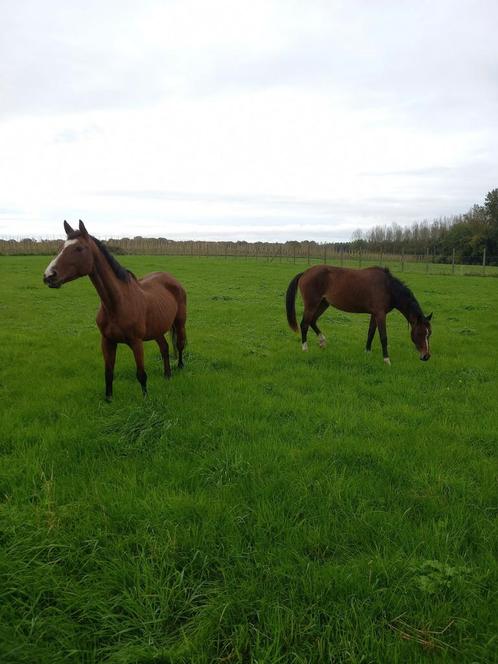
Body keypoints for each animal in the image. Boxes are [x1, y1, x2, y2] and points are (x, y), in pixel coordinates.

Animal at [42, 219, 187, 400]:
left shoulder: (136, 343)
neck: (117, 304)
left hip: (180, 323)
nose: (49, 276)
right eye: (61, 247)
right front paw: (109, 399)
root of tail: (171, 279)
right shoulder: (107, 341)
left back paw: (180, 366)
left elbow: (141, 374)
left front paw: (145, 399)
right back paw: (167, 375)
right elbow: (109, 373)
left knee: (180, 345)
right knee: (165, 348)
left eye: (79, 248)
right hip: (157, 329)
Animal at [286, 264, 434, 364]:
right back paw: (305, 348)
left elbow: (371, 333)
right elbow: (383, 337)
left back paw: (322, 342)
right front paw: (386, 360)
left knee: (312, 321)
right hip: (312, 304)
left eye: (429, 333)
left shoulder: (375, 314)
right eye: (420, 333)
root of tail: (305, 272)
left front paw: (367, 352)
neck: (388, 287)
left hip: (323, 304)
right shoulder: (381, 314)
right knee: (304, 324)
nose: (426, 356)